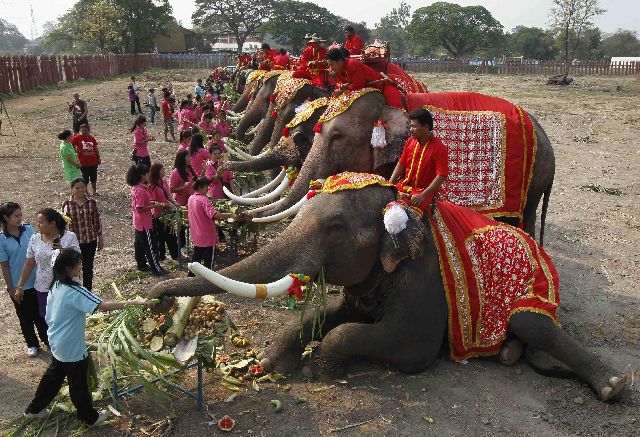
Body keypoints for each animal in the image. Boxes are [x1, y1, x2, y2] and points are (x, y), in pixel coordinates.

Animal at [150, 175, 624, 400]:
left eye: (336, 226)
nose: (154, 301)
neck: (404, 206)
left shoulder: (424, 283)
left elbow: (404, 344)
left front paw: (318, 369)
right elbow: (330, 315)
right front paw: (270, 363)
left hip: (532, 290)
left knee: (536, 326)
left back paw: (612, 386)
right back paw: (507, 354)